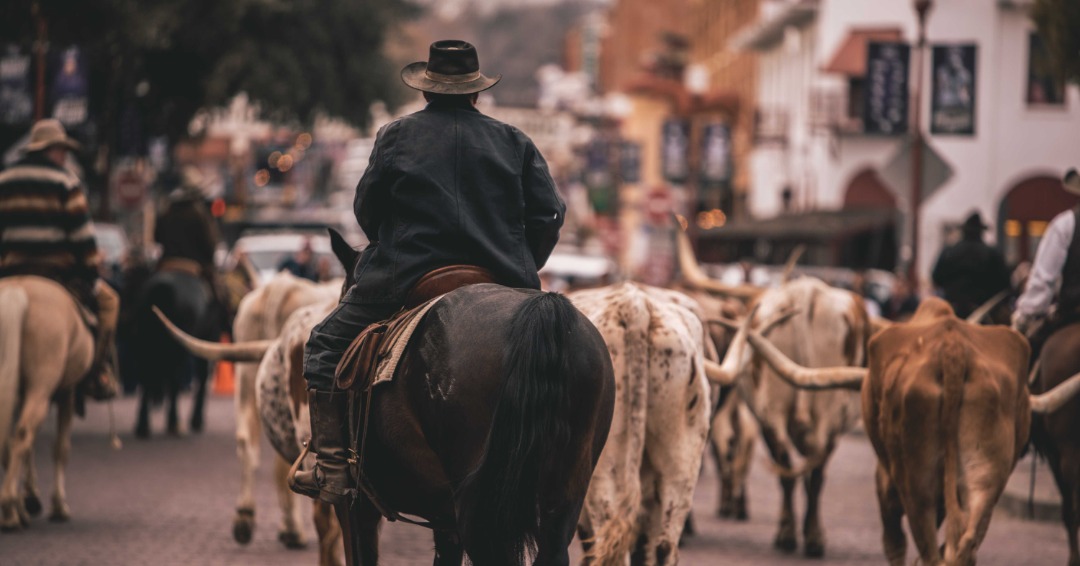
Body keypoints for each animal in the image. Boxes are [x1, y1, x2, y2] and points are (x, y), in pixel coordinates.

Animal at [0, 276, 93, 529]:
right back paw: (9, 509)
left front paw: (29, 499)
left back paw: (15, 510)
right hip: (42, 385)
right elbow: (61, 448)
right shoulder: (66, 393)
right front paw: (58, 506)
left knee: (14, 439)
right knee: (23, 435)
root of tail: (16, 290)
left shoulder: (21, 393)